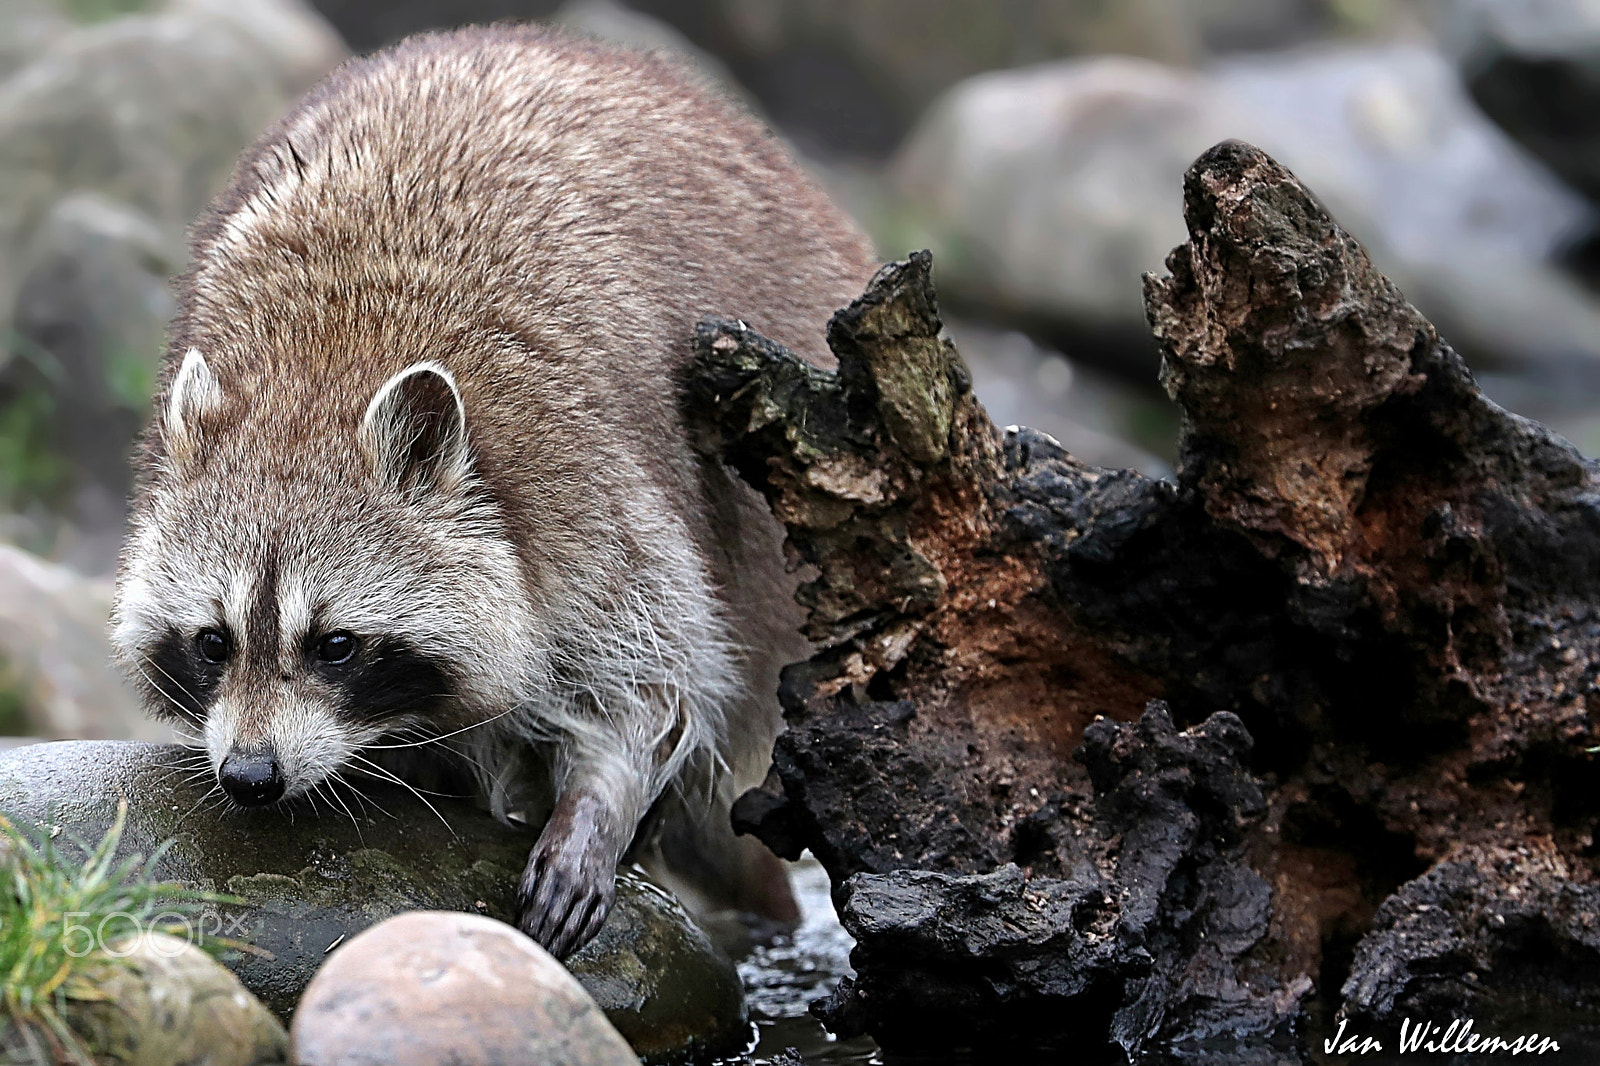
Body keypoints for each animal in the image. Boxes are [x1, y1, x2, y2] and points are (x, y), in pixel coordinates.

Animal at [111, 22, 883, 953]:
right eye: (212, 641)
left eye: (335, 645)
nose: (251, 775)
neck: (320, 378)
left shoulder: (582, 482)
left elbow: (657, 673)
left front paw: (601, 799)